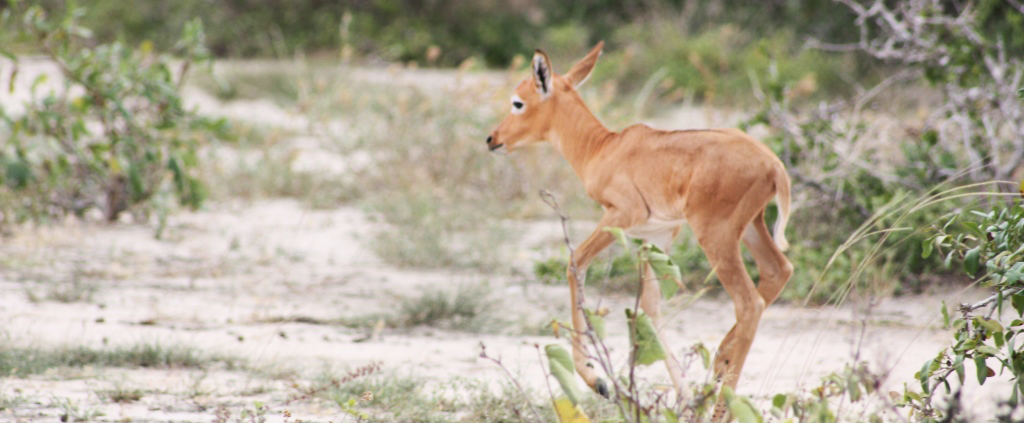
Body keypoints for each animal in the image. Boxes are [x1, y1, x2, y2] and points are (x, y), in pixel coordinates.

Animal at [483, 42, 794, 415]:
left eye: (518, 102)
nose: (492, 139)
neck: (604, 148)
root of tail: (773, 164)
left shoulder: (620, 216)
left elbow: (575, 264)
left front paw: (597, 380)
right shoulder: (657, 236)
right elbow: (650, 304)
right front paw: (684, 397)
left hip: (716, 237)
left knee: (750, 304)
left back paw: (719, 404)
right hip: (750, 227)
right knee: (778, 271)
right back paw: (717, 368)